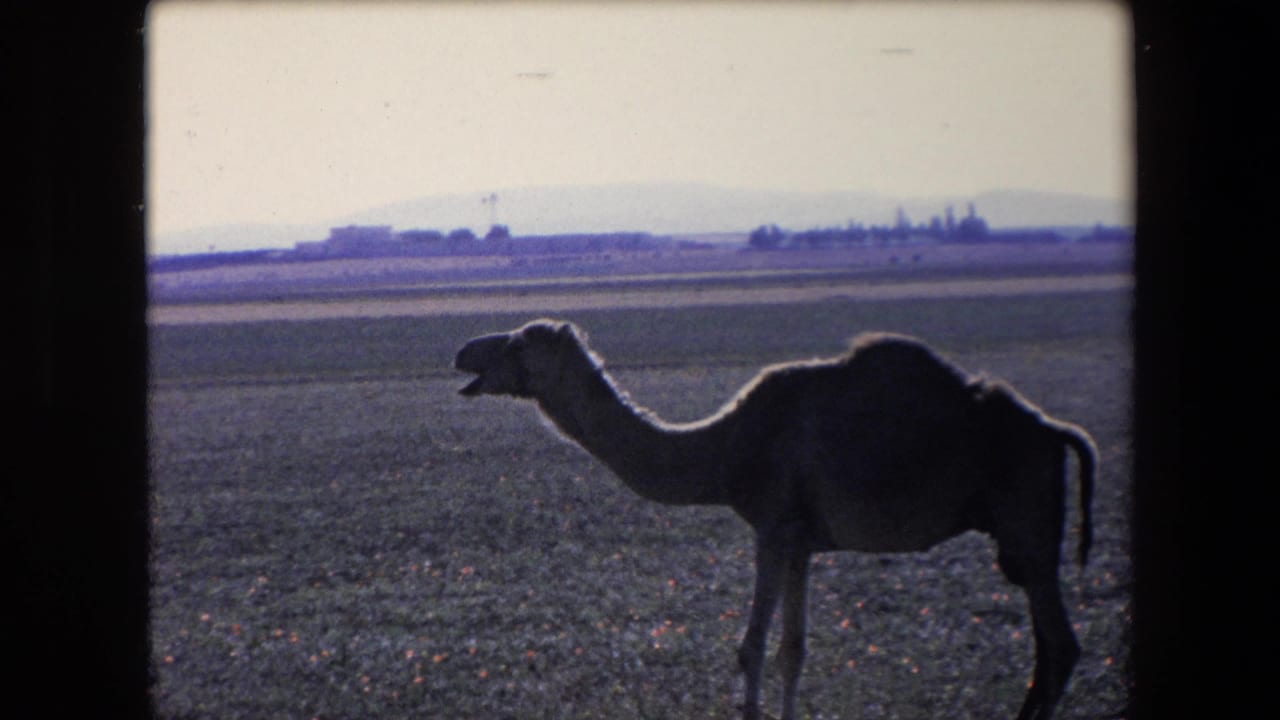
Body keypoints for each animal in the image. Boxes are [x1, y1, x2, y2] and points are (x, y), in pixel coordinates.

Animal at [454, 319, 1096, 720]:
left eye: (517, 344)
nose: (462, 351)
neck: (726, 445)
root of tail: (1054, 431)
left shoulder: (772, 527)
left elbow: (752, 646)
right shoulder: (802, 540)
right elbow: (794, 649)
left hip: (1026, 523)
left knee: (1062, 647)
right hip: (1023, 536)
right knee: (1047, 647)